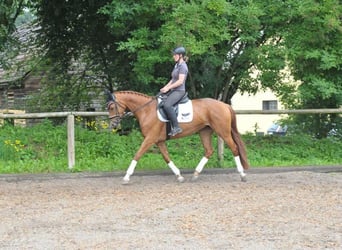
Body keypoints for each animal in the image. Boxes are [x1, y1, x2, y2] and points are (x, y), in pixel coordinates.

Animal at [105, 90, 250, 184]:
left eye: (111, 107)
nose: (113, 125)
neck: (146, 110)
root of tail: (224, 105)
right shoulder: (159, 141)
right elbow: (166, 157)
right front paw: (179, 176)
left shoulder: (150, 139)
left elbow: (137, 154)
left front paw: (126, 177)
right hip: (204, 131)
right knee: (209, 150)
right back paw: (195, 174)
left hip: (223, 131)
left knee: (234, 148)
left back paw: (242, 175)